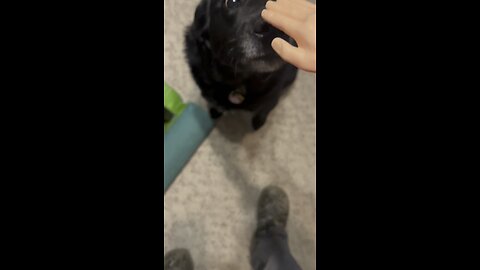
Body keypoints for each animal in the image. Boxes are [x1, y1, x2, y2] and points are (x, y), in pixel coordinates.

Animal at [186, 0, 298, 130]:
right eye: (232, 2)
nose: (276, 30)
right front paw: (215, 111)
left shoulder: (272, 97)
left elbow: (264, 109)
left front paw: (259, 121)